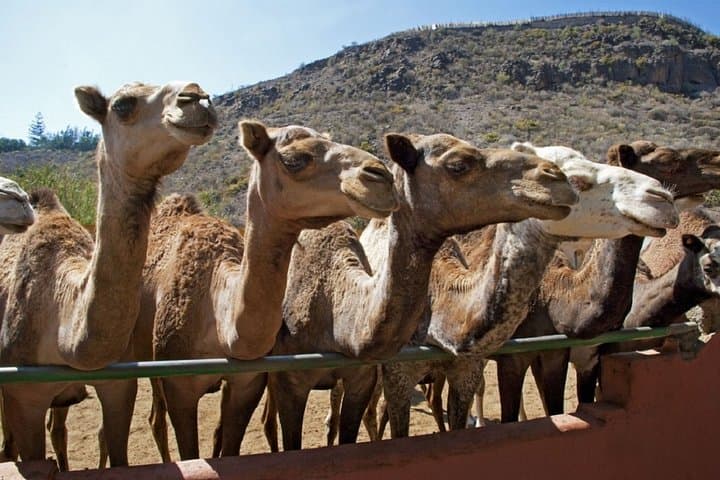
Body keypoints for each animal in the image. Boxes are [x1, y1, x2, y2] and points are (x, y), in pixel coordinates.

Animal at [136, 121, 400, 462]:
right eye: (294, 160)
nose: (380, 175)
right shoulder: (179, 385)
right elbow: (191, 453)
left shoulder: (248, 383)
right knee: (155, 418)